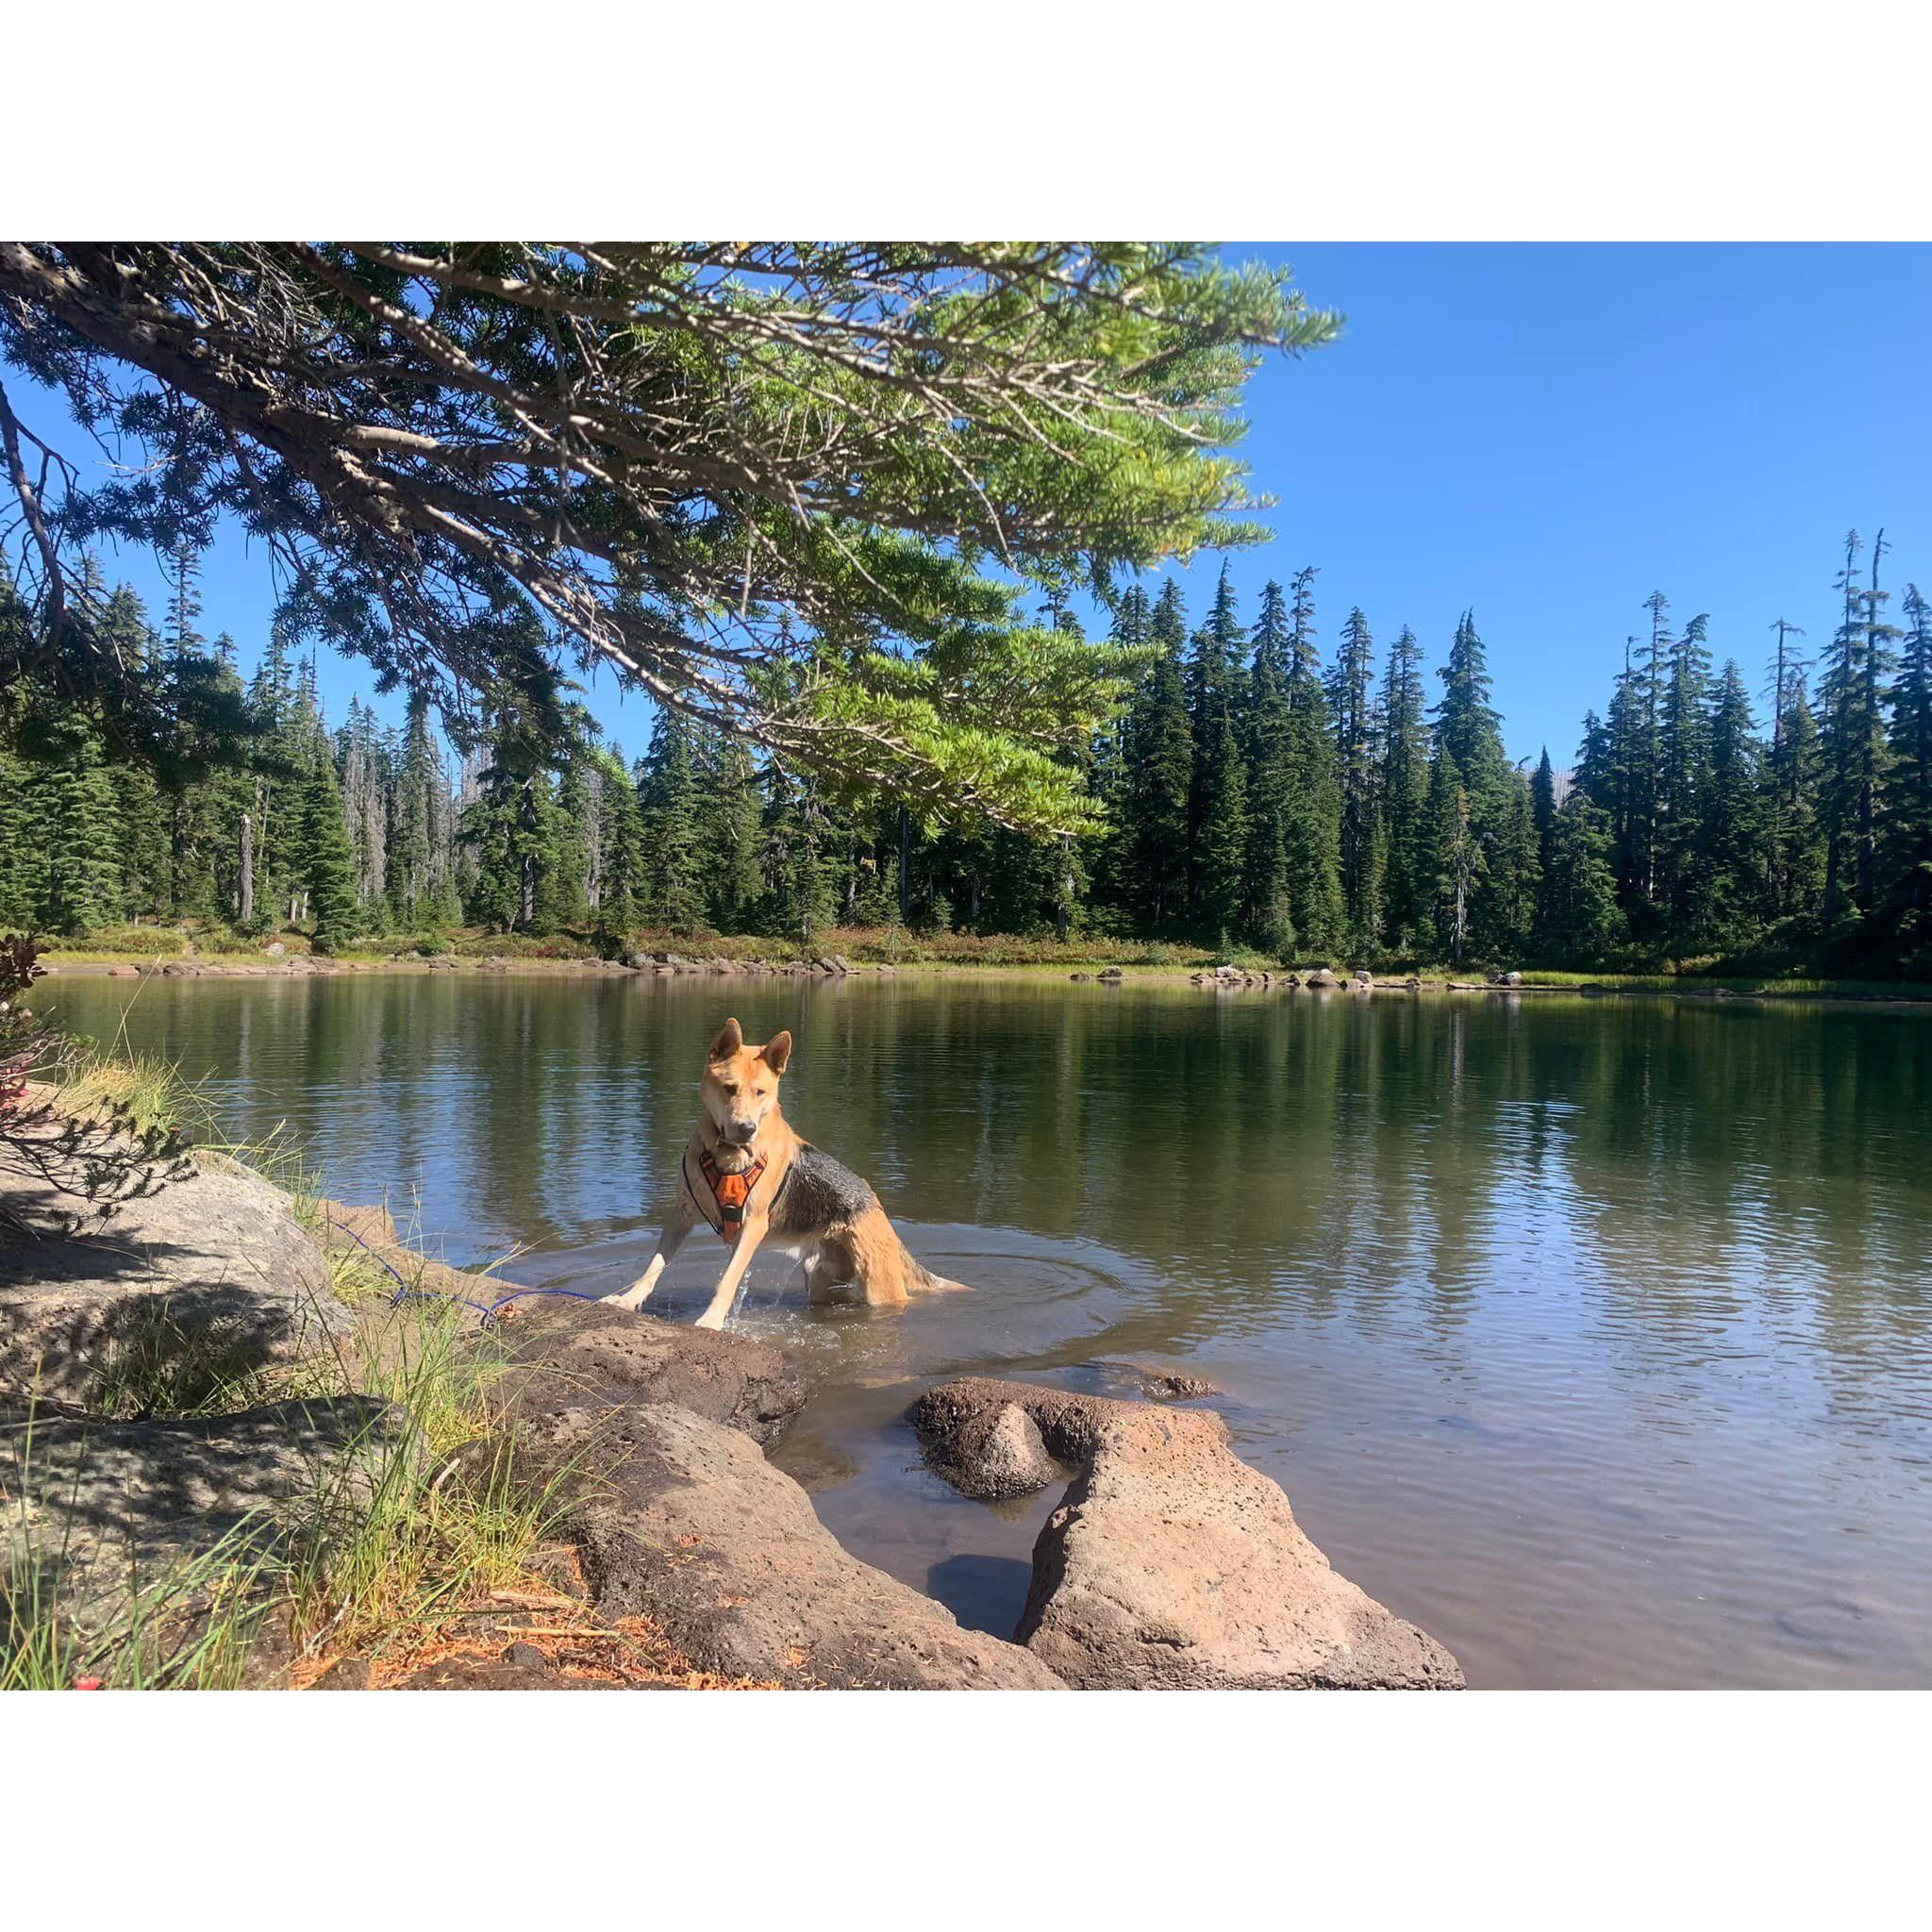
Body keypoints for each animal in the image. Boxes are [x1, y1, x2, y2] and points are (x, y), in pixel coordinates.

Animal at [604, 1018, 968, 1329]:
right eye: (729, 1088)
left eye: (760, 1092)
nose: (746, 1129)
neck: (728, 1155)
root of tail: (875, 1204)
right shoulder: (682, 1213)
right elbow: (653, 1265)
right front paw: (628, 1299)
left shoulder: (752, 1225)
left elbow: (728, 1280)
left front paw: (712, 1320)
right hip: (820, 1278)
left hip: (879, 1288)